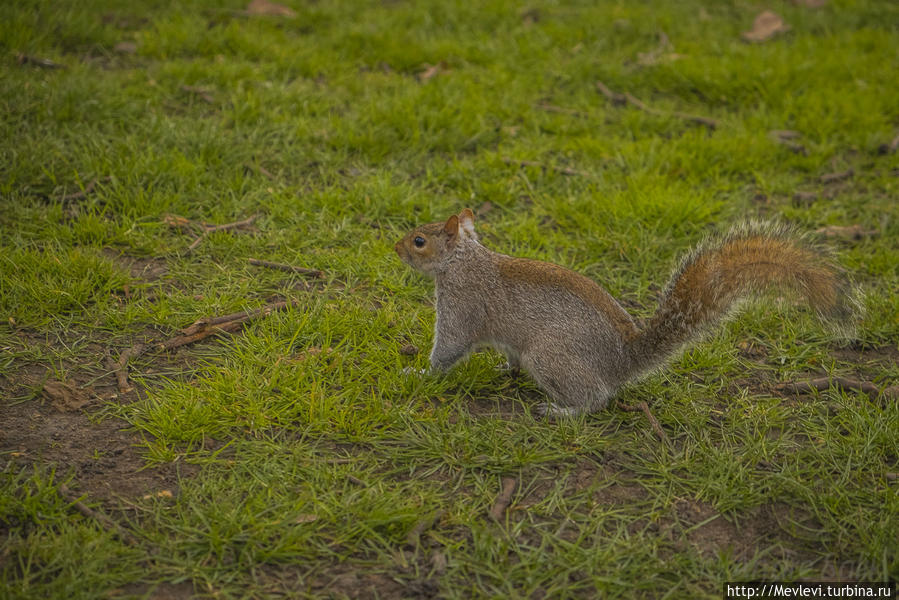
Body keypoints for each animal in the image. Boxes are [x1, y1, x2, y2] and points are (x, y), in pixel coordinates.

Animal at [396, 210, 856, 418]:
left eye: (419, 241)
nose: (396, 247)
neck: (463, 261)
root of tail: (623, 359)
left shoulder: (463, 304)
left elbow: (450, 347)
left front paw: (419, 374)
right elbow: (504, 354)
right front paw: (502, 368)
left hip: (551, 356)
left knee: (596, 397)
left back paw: (562, 411)